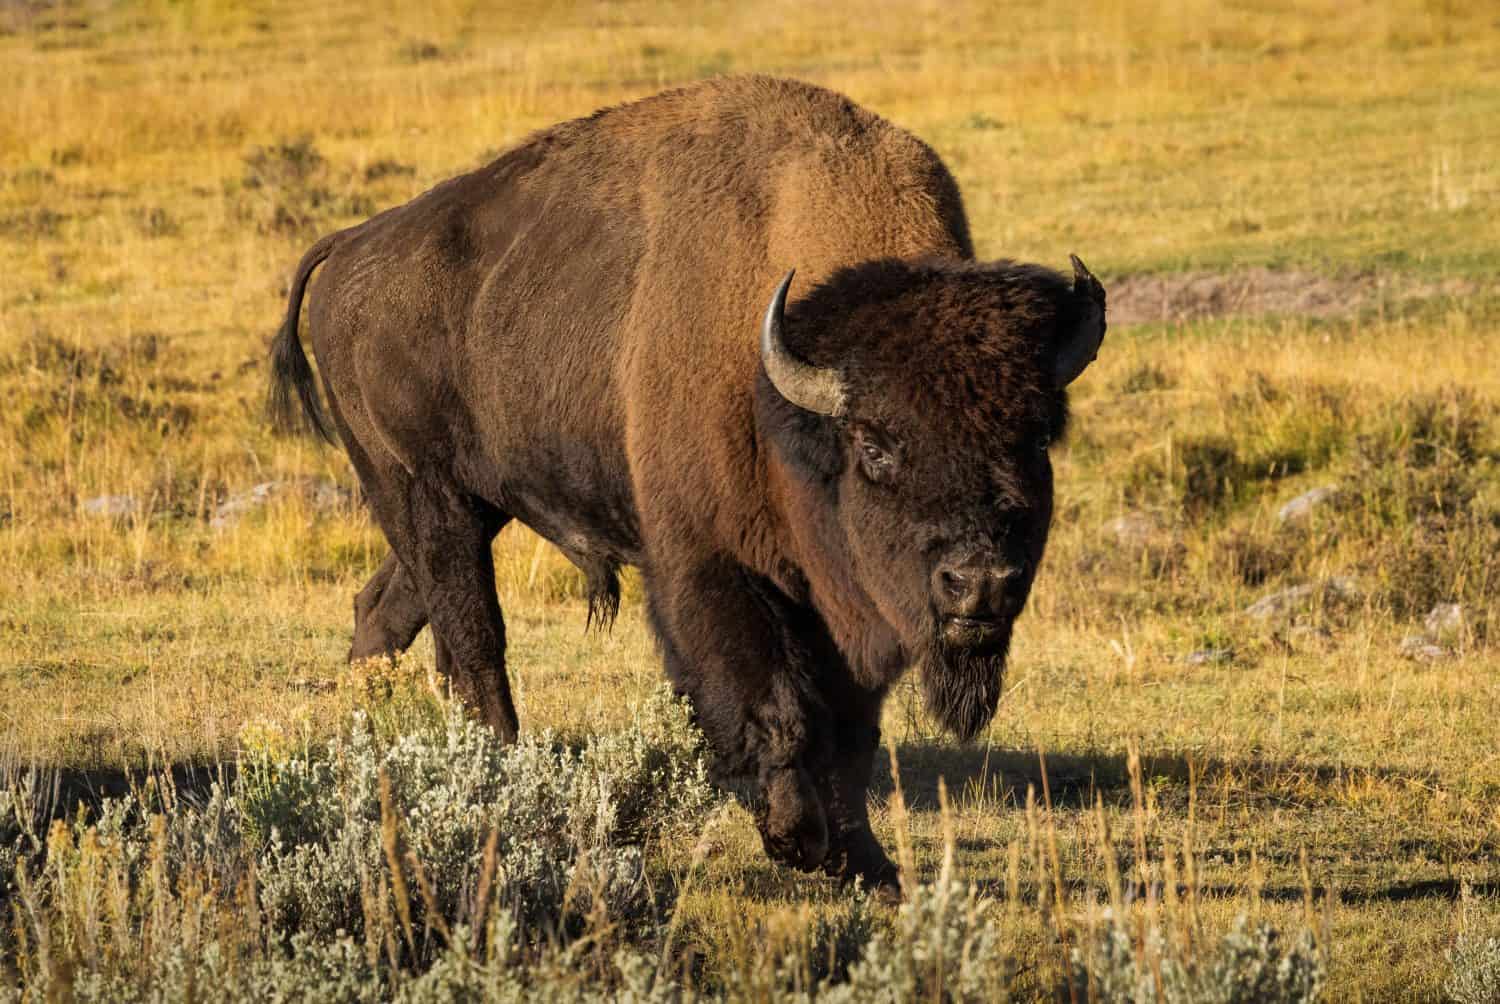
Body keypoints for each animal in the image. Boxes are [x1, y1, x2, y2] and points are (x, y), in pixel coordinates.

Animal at [268, 75, 1106, 895]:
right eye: (875, 445)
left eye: (1038, 436)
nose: (980, 583)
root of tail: (352, 246)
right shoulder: (714, 567)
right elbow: (773, 706)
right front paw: (798, 840)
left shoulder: (849, 598)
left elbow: (851, 729)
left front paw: (866, 864)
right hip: (422, 492)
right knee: (473, 637)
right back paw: (498, 779)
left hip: (462, 506)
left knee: (387, 610)